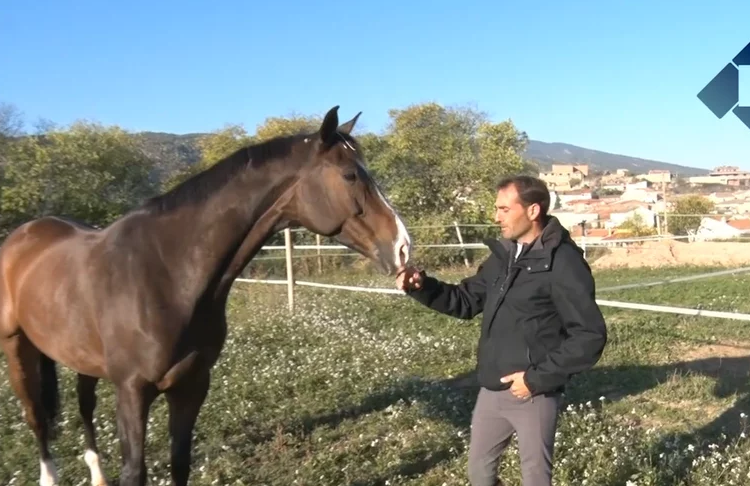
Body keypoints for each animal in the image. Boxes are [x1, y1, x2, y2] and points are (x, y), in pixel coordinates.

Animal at [0, 106, 414, 486]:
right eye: (350, 175)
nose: (403, 248)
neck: (167, 274)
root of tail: (23, 235)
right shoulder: (132, 391)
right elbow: (134, 472)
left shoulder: (192, 385)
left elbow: (180, 464)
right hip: (18, 348)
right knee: (37, 419)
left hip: (82, 359)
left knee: (84, 408)